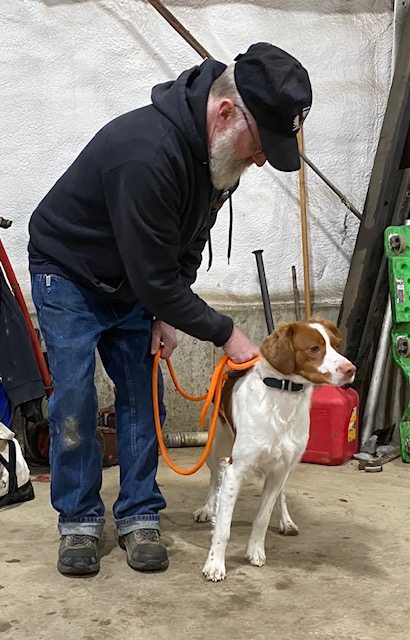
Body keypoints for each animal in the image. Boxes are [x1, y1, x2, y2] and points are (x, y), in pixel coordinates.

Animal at [194, 318, 356, 582]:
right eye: (314, 348)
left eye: (336, 345)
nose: (351, 369)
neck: (283, 397)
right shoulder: (235, 470)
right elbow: (223, 527)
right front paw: (215, 565)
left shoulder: (280, 469)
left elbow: (263, 516)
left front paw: (255, 551)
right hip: (216, 446)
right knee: (213, 479)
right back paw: (207, 508)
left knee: (281, 494)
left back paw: (286, 522)